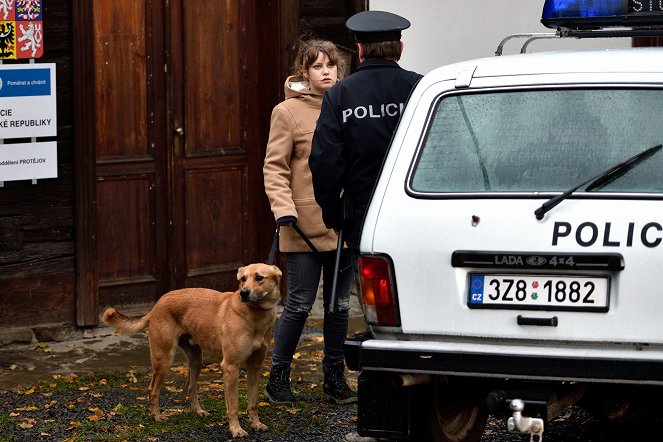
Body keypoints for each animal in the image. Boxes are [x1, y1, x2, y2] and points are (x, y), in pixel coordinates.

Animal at [102, 262, 282, 438]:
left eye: (259, 278)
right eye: (243, 279)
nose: (243, 293)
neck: (256, 315)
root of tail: (157, 305)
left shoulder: (255, 367)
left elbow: (253, 402)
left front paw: (256, 424)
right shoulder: (231, 367)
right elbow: (233, 405)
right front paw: (235, 429)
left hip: (196, 359)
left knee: (190, 387)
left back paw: (198, 412)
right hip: (164, 360)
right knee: (153, 389)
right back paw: (157, 416)